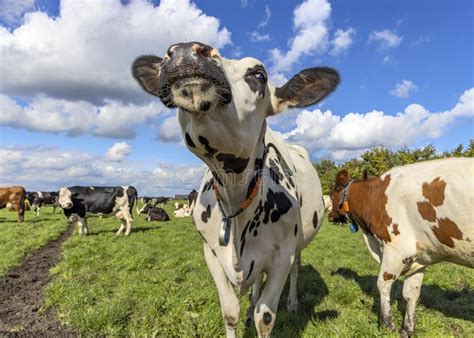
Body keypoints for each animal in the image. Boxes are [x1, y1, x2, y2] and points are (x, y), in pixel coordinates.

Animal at [131, 41, 338, 336]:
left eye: (259, 75)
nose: (185, 51)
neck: (235, 197)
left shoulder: (282, 256)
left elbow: (266, 316)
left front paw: (265, 313)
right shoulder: (211, 254)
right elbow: (230, 312)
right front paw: (244, 314)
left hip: (298, 245)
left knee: (296, 269)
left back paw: (293, 302)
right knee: (256, 282)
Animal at [330, 158, 474, 336]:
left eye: (332, 193)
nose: (329, 215)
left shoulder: (396, 249)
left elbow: (383, 284)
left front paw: (387, 325)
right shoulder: (419, 257)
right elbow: (411, 293)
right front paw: (407, 329)